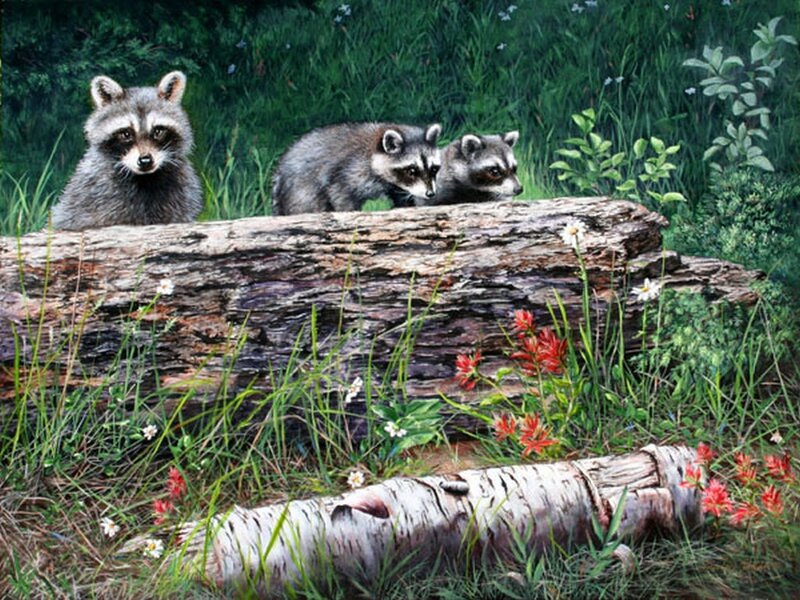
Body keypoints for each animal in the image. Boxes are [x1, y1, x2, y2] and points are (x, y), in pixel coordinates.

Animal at [51, 71, 203, 230]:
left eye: (158, 131)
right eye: (126, 134)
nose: (145, 161)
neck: (145, 179)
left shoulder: (182, 193)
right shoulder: (96, 194)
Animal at [271, 122, 442, 215]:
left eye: (433, 169)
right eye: (412, 170)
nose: (430, 194)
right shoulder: (350, 169)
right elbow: (340, 194)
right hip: (301, 191)